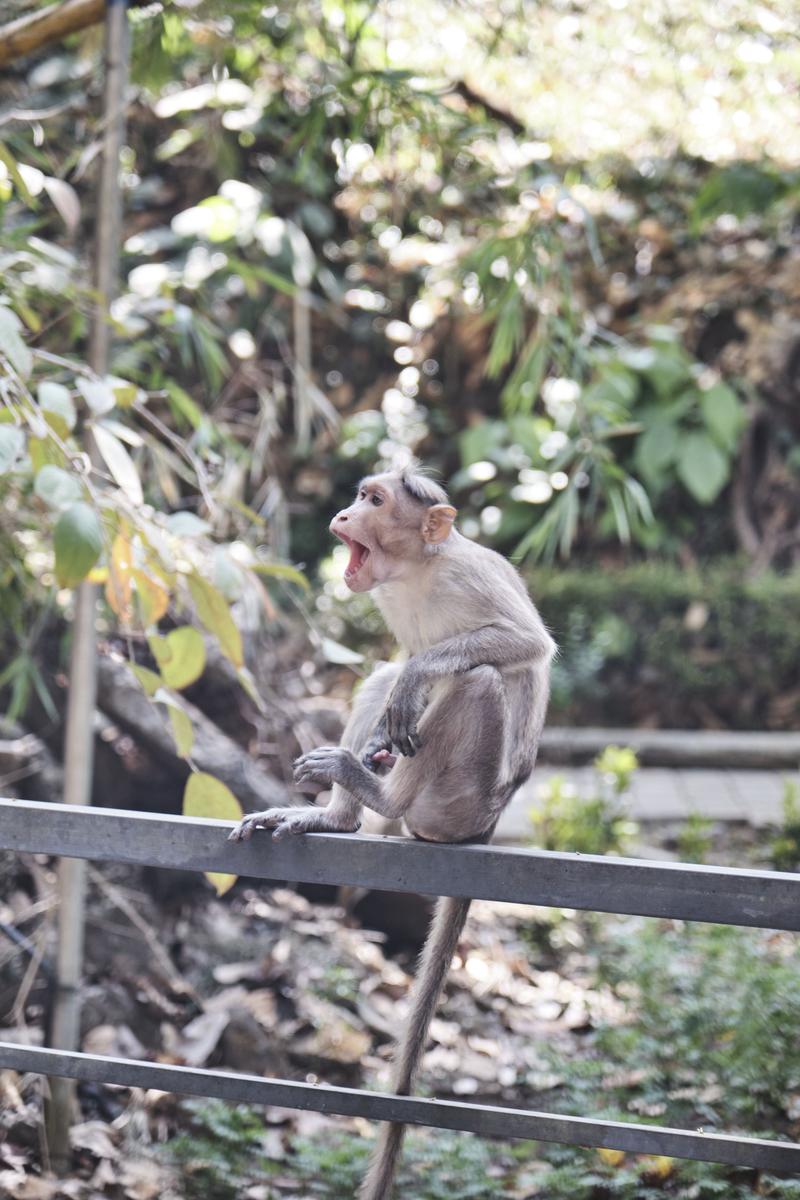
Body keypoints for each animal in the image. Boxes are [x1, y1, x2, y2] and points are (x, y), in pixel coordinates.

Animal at [227, 463, 554, 1195]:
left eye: (374, 501)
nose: (346, 516)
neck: (419, 572)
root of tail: (485, 828)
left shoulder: (467, 576)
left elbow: (521, 647)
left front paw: (420, 677)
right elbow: (397, 665)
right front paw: (380, 730)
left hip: (460, 801)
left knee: (477, 680)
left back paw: (376, 787)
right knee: (389, 676)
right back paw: (338, 810)